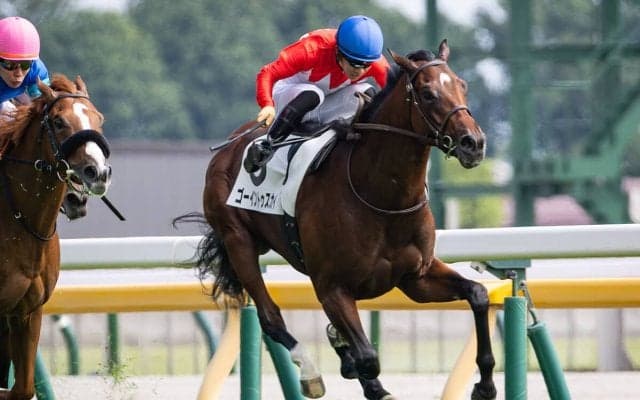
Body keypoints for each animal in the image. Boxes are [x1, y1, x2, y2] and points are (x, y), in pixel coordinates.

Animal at [182, 40, 496, 400]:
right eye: (428, 94)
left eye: (462, 85)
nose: (474, 143)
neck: (380, 197)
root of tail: (230, 146)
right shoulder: (332, 287)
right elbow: (369, 357)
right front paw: (367, 378)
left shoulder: (417, 277)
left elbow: (478, 295)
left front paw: (485, 385)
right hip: (238, 241)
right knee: (270, 317)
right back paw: (311, 371)